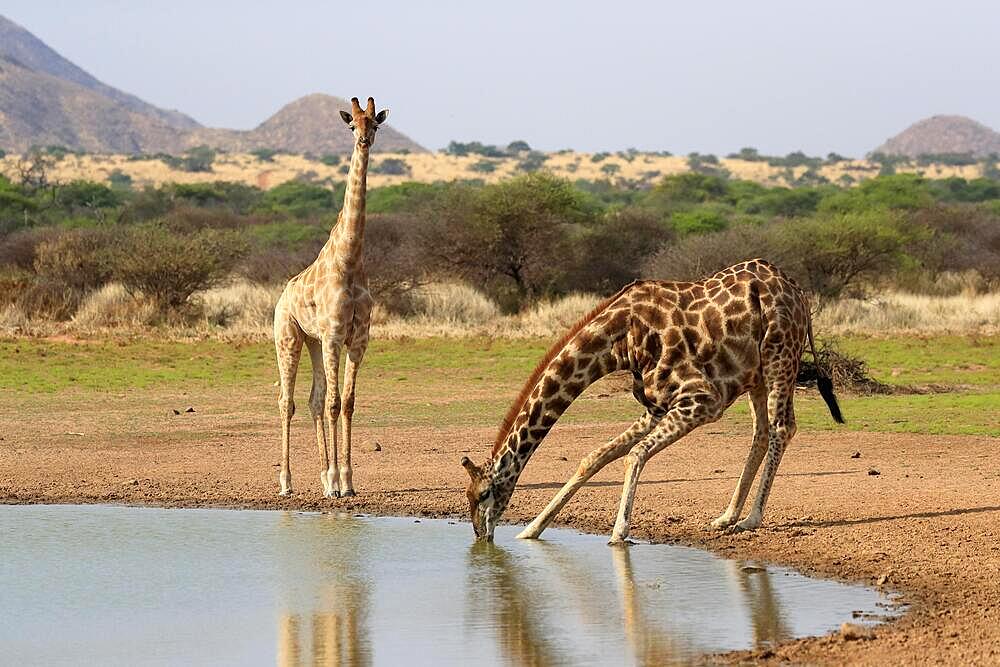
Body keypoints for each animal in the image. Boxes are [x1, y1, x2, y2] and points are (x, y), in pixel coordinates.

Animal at [274, 96, 386, 498]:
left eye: (375, 123)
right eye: (351, 124)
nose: (364, 141)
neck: (349, 261)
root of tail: (282, 295)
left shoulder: (357, 340)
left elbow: (347, 403)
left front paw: (347, 480)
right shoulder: (336, 336)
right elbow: (337, 404)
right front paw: (338, 482)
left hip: (312, 341)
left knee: (314, 400)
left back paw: (323, 476)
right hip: (289, 339)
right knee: (288, 401)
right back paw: (287, 482)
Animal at [462, 258, 844, 544]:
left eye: (483, 494)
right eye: (467, 496)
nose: (481, 535)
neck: (618, 341)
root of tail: (799, 293)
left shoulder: (702, 400)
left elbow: (635, 453)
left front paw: (619, 533)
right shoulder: (656, 406)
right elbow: (595, 457)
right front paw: (531, 530)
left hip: (780, 356)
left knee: (782, 427)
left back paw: (751, 518)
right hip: (756, 374)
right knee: (761, 432)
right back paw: (727, 516)